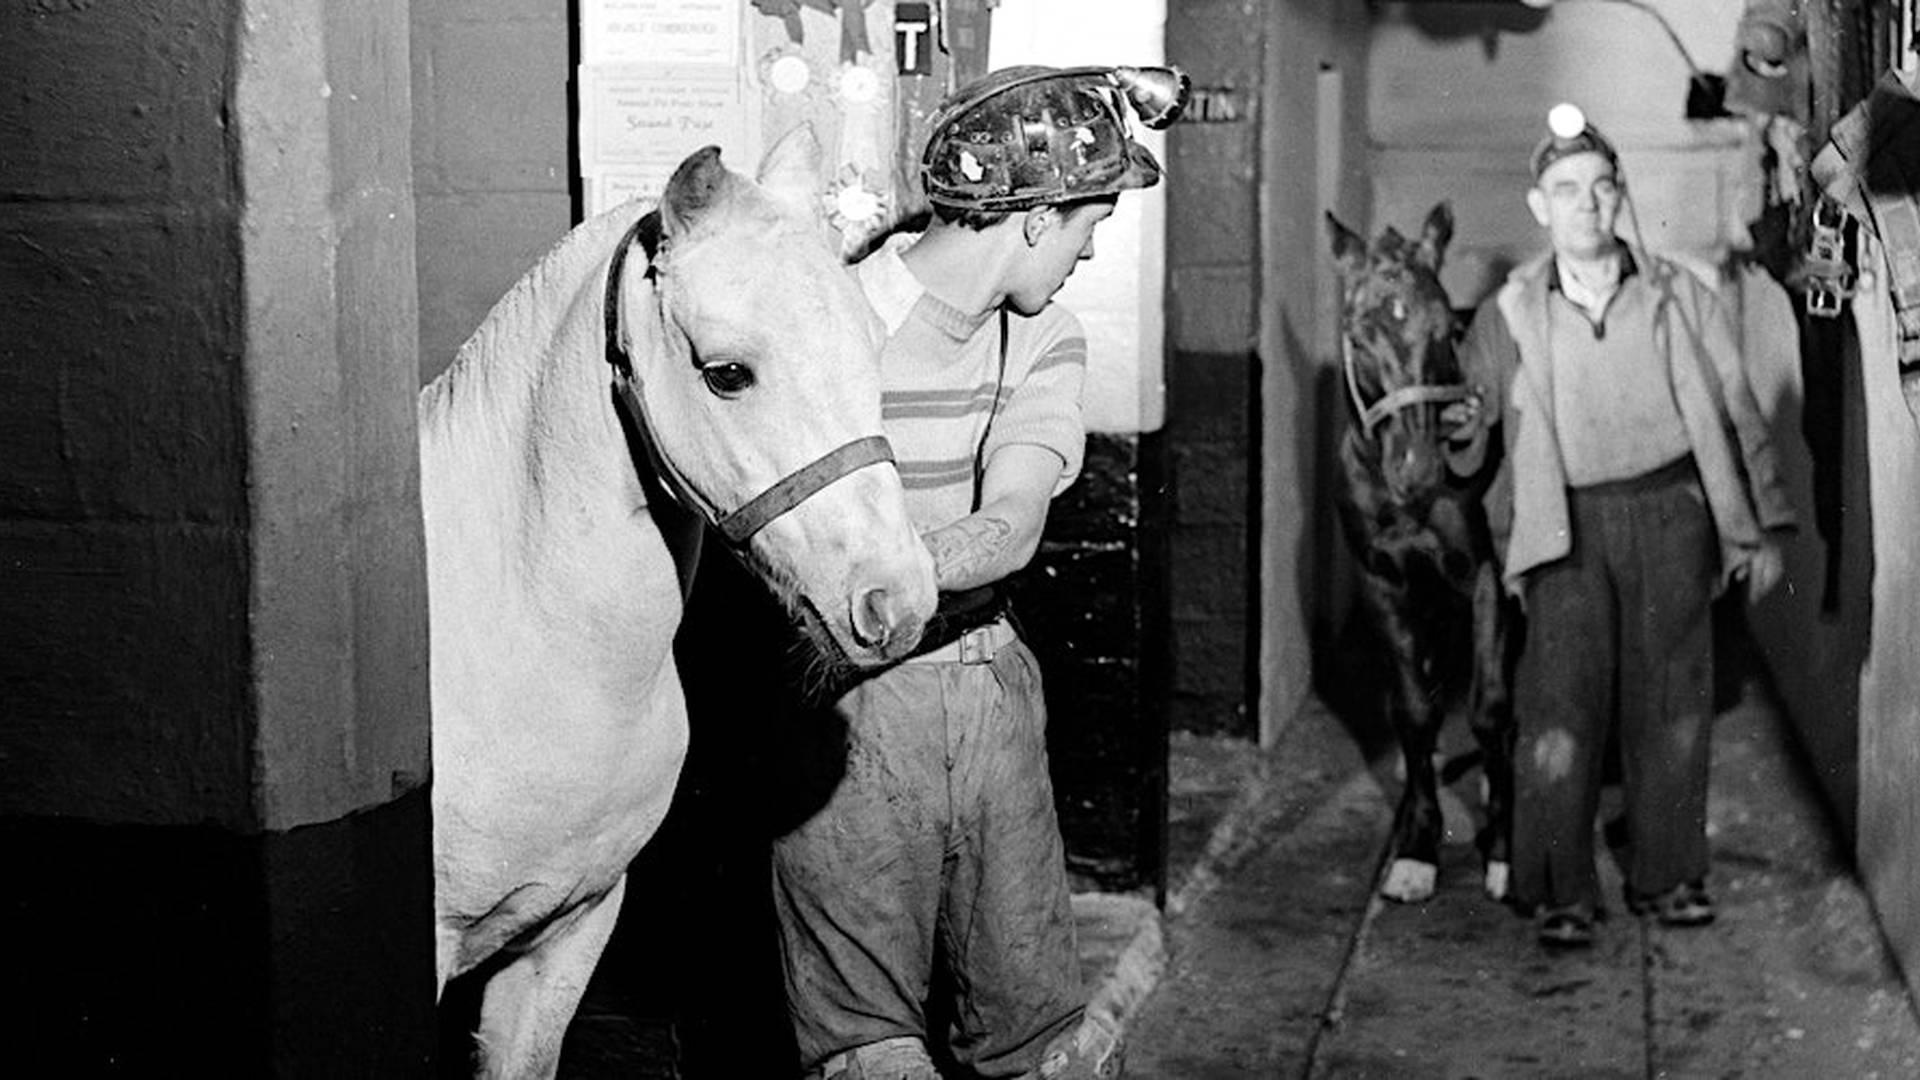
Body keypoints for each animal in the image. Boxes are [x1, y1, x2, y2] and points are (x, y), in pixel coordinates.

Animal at [1328, 201, 1505, 899]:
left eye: (1447, 331)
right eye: (1358, 334)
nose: (1418, 470)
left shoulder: (1484, 577)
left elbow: (1488, 705)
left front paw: (1503, 848)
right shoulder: (1383, 582)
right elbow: (1411, 711)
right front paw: (1416, 847)